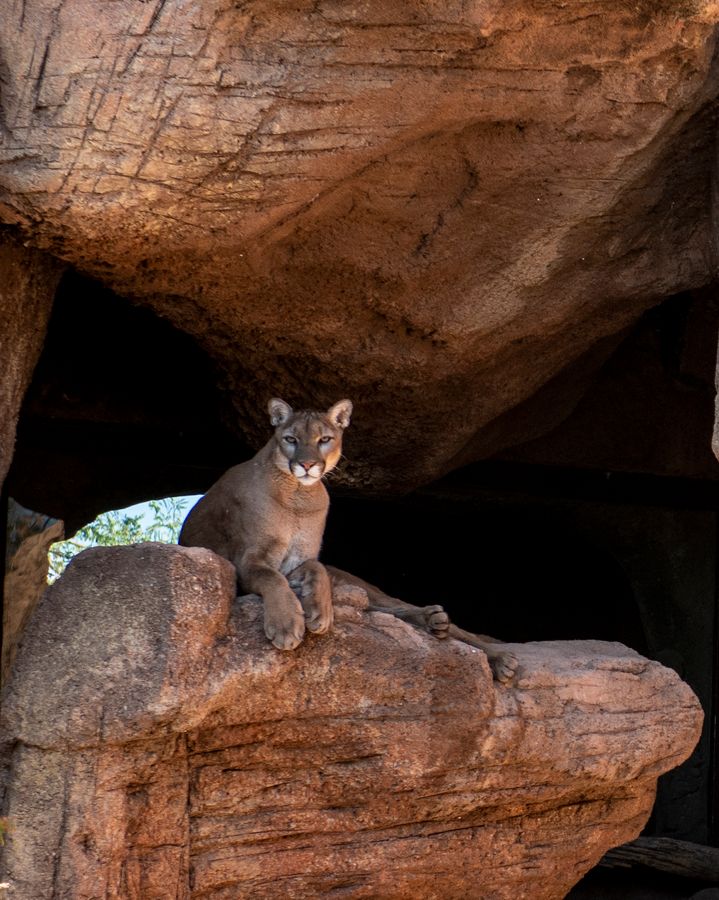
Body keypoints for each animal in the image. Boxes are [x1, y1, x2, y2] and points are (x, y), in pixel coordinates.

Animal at [180, 398, 516, 680]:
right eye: (291, 439)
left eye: (324, 440)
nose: (306, 465)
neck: (299, 497)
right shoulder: (248, 560)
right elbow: (272, 579)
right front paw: (287, 625)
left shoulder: (301, 559)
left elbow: (317, 569)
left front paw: (321, 612)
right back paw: (436, 623)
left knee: (403, 609)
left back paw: (492, 653)